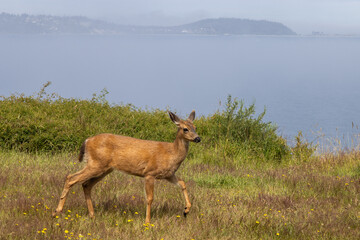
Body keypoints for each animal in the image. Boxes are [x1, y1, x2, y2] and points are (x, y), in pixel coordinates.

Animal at [52, 110, 201, 223]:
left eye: (195, 127)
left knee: (86, 184)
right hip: (96, 164)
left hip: (104, 168)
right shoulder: (149, 173)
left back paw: (92, 215)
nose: (198, 138)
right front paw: (147, 221)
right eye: (185, 129)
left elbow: (183, 183)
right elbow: (150, 198)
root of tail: (87, 141)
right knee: (71, 178)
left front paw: (186, 210)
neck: (171, 153)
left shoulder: (169, 174)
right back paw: (57, 212)